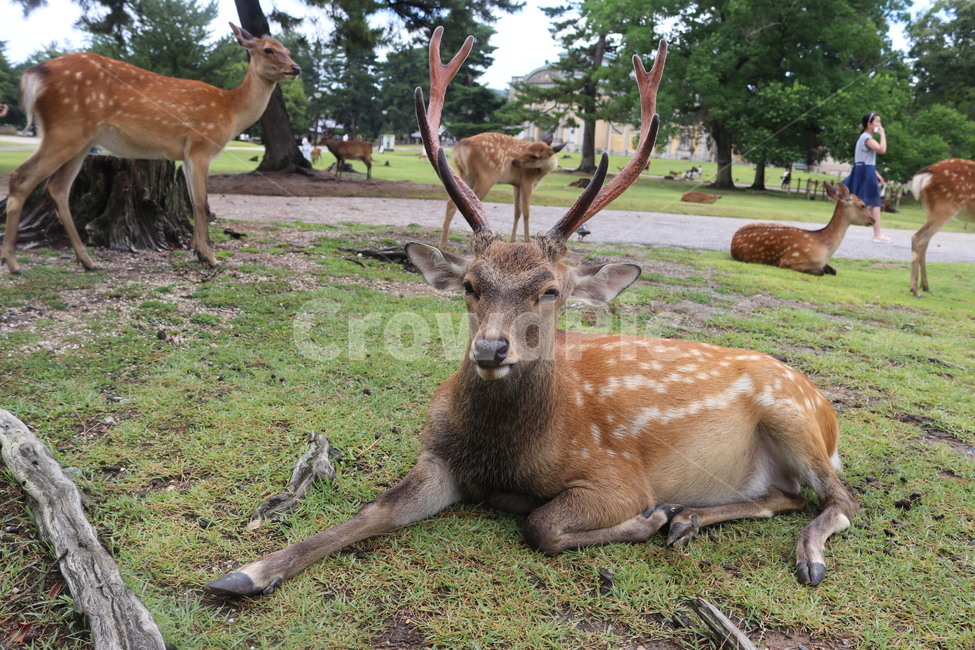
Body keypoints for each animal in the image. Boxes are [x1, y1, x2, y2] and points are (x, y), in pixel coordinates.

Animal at [0, 24, 300, 275]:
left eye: (288, 49)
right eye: (268, 49)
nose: (296, 68)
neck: (231, 111)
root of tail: (33, 75)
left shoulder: (186, 156)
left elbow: (194, 202)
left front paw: (199, 252)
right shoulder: (201, 147)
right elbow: (202, 203)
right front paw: (212, 257)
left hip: (81, 140)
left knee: (57, 187)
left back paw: (87, 261)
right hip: (66, 129)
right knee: (21, 177)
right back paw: (14, 263)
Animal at [202, 27, 859, 600]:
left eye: (550, 291)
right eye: (470, 284)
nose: (492, 349)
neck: (504, 456)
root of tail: (827, 412)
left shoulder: (618, 473)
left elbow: (541, 524)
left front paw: (651, 518)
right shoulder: (437, 457)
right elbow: (375, 509)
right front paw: (246, 572)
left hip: (794, 417)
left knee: (840, 500)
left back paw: (799, 553)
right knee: (789, 495)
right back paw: (692, 518)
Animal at [730, 182, 875, 276]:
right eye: (863, 205)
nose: (874, 220)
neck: (824, 248)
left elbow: (834, 270)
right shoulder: (789, 260)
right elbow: (821, 271)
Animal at [908, 158, 975, 297]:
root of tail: (926, 173)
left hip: (930, 209)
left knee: (925, 242)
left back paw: (925, 286)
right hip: (945, 206)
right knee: (918, 238)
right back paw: (915, 290)